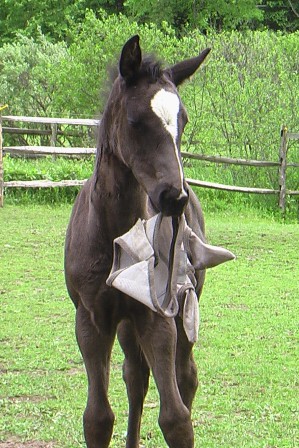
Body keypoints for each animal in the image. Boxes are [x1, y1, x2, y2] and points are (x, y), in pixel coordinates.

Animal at [64, 36, 212, 448]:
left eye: (183, 121)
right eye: (135, 121)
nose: (174, 197)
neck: (114, 235)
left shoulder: (156, 316)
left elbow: (176, 418)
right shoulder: (91, 320)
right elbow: (97, 418)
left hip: (181, 308)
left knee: (185, 375)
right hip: (126, 324)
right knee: (135, 376)